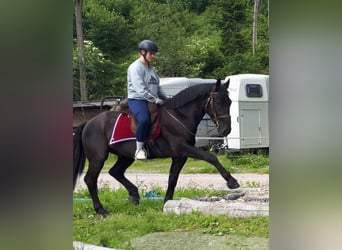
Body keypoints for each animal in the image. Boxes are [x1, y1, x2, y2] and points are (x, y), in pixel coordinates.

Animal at [73, 79, 238, 216]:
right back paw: (101, 210)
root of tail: (89, 123)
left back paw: (134, 195)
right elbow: (211, 157)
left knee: (115, 172)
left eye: (229, 102)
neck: (180, 117)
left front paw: (167, 203)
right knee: (90, 180)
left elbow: (172, 178)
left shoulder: (179, 156)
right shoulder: (183, 149)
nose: (226, 130)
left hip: (125, 156)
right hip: (98, 158)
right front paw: (231, 181)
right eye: (218, 101)